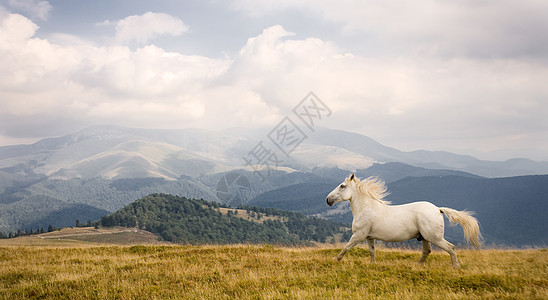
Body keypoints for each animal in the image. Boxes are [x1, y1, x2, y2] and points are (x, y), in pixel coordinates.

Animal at [326, 173, 480, 268]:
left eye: (342, 186)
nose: (328, 200)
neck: (366, 209)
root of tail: (437, 209)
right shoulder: (369, 237)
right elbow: (372, 251)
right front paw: (372, 264)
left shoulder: (359, 235)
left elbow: (346, 247)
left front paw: (335, 260)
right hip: (424, 237)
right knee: (427, 251)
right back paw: (417, 266)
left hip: (434, 237)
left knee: (451, 248)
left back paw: (456, 266)